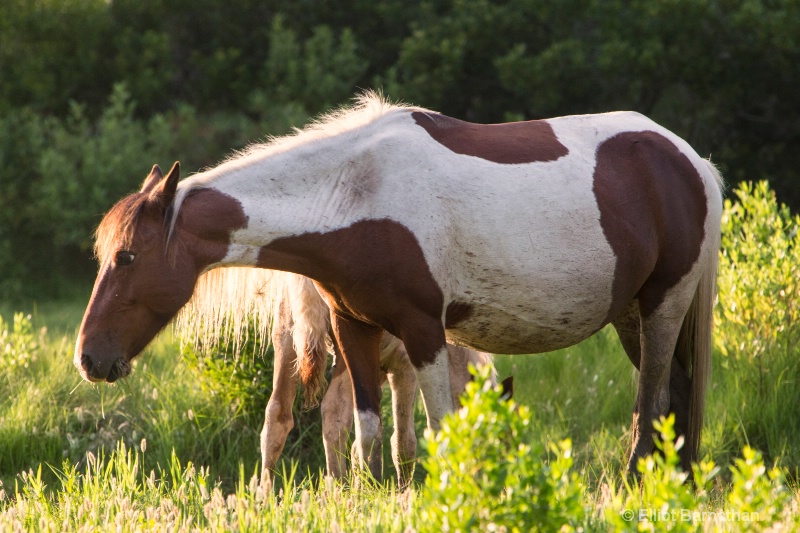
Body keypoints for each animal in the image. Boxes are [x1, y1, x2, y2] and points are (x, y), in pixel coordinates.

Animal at [76, 94, 724, 478]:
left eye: (128, 256)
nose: (89, 359)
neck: (353, 195)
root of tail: (688, 159)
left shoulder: (424, 334)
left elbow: (436, 432)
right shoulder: (355, 332)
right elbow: (366, 436)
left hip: (663, 306)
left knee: (652, 403)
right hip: (631, 316)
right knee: (673, 398)